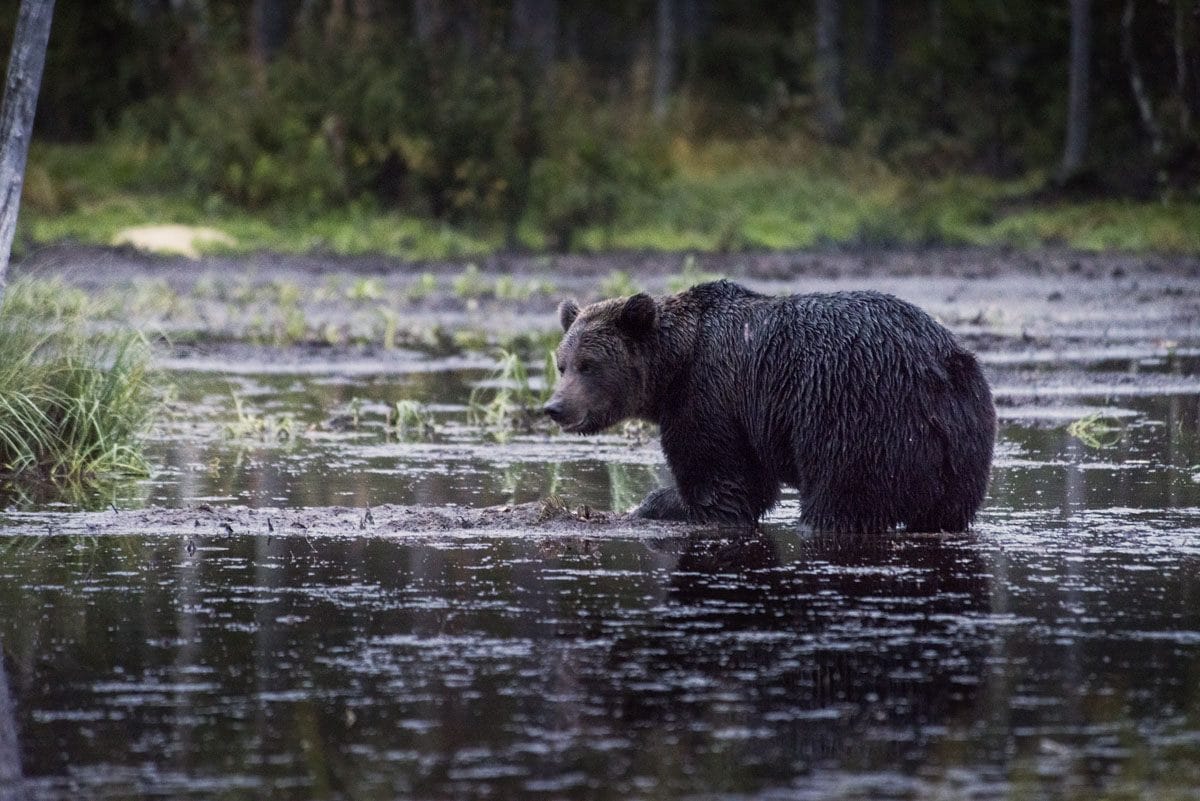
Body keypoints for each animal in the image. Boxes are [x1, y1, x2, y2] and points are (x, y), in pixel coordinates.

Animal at [544, 281, 993, 532]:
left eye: (589, 365)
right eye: (562, 363)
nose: (555, 407)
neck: (675, 366)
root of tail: (938, 370)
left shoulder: (710, 395)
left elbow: (722, 481)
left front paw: (659, 504)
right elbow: (750, 483)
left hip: (858, 416)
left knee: (841, 499)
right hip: (962, 442)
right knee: (948, 511)